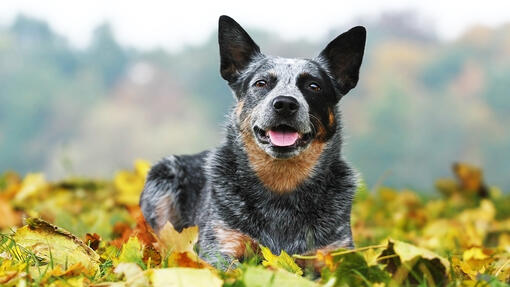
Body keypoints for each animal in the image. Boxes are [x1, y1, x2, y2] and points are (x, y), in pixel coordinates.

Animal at [139, 14, 366, 268]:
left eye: (313, 86)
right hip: (162, 178)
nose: (285, 103)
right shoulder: (221, 247)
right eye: (261, 83)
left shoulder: (335, 253)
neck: (282, 186)